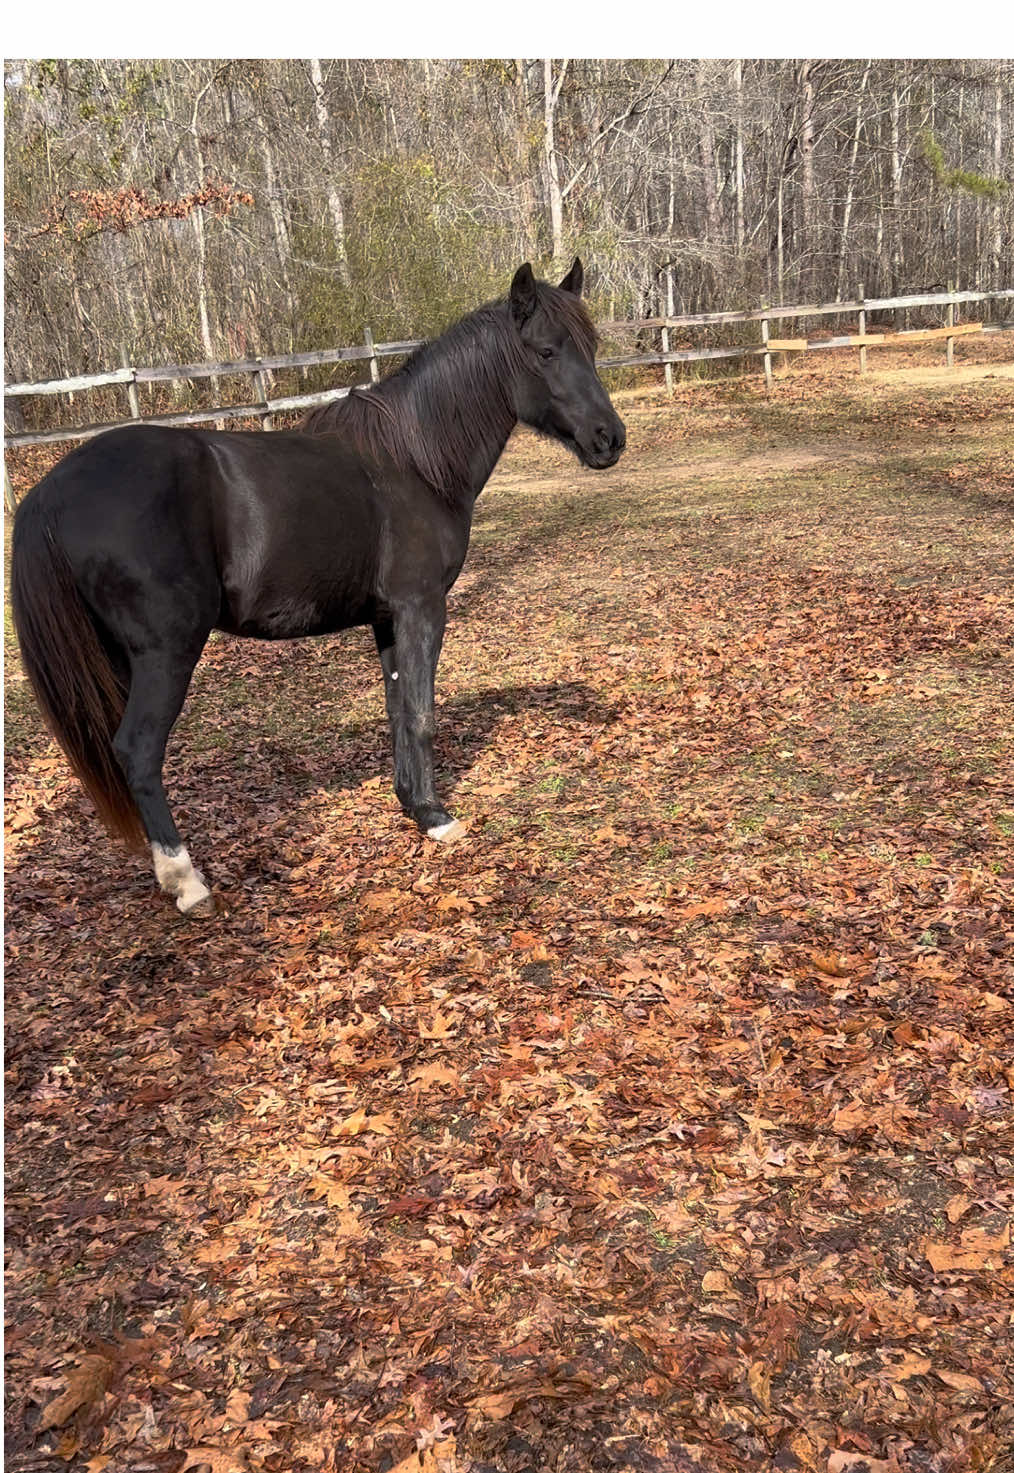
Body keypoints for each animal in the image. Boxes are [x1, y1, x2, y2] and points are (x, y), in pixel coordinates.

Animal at [9, 259, 624, 913]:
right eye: (546, 351)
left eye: (591, 346)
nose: (609, 438)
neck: (413, 461)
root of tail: (50, 491)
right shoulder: (422, 609)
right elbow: (422, 713)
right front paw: (438, 819)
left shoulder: (387, 619)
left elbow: (398, 710)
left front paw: (413, 805)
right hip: (166, 653)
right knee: (138, 751)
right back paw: (186, 881)